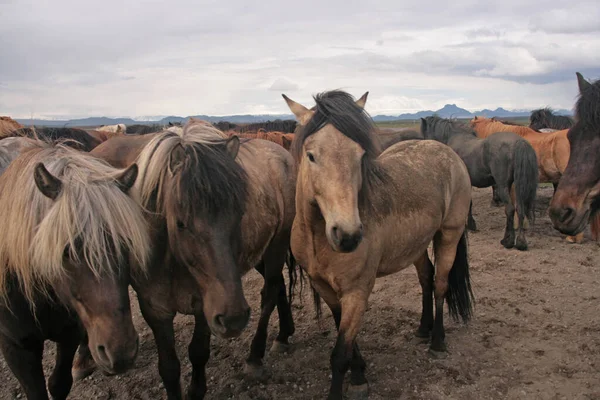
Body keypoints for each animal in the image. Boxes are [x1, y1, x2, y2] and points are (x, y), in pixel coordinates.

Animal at [0, 142, 149, 398]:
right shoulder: (15, 347)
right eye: (66, 251)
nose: (122, 351)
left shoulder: (69, 332)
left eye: (126, 243)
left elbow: (59, 383)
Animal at [72, 120, 298, 398]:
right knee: (277, 288)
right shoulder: (155, 310)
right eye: (181, 223)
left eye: (241, 212)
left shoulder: (205, 305)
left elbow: (198, 352)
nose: (233, 319)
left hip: (276, 246)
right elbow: (169, 367)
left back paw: (255, 357)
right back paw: (283, 335)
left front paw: (196, 389)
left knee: (269, 293)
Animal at [282, 90, 474, 400]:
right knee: (427, 278)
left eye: (360, 155)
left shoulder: (357, 292)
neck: (317, 238)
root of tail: (448, 152)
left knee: (441, 285)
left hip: (449, 236)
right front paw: (360, 373)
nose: (348, 235)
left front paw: (350, 383)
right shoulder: (325, 289)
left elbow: (340, 354)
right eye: (311, 156)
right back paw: (423, 330)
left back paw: (437, 342)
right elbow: (345, 338)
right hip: (417, 246)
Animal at [422, 115, 540, 250]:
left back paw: (507, 241)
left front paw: (470, 224)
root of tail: (519, 142)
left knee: (510, 209)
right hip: (517, 186)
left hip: (503, 186)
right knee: (520, 209)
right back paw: (521, 242)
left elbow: (469, 204)